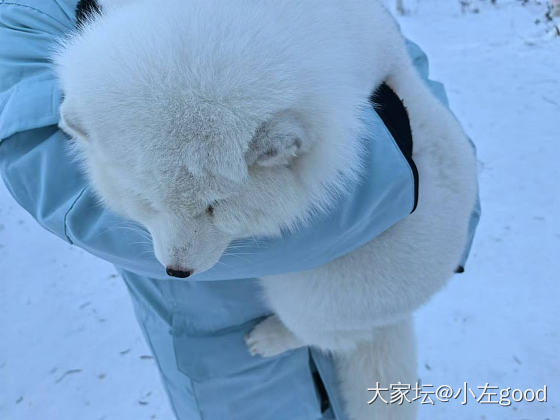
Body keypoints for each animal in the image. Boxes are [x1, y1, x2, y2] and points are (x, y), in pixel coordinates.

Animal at [55, 1, 476, 418]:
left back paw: (271, 337)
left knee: (329, 336)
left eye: (215, 207)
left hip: (308, 294)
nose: (177, 271)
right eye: (147, 200)